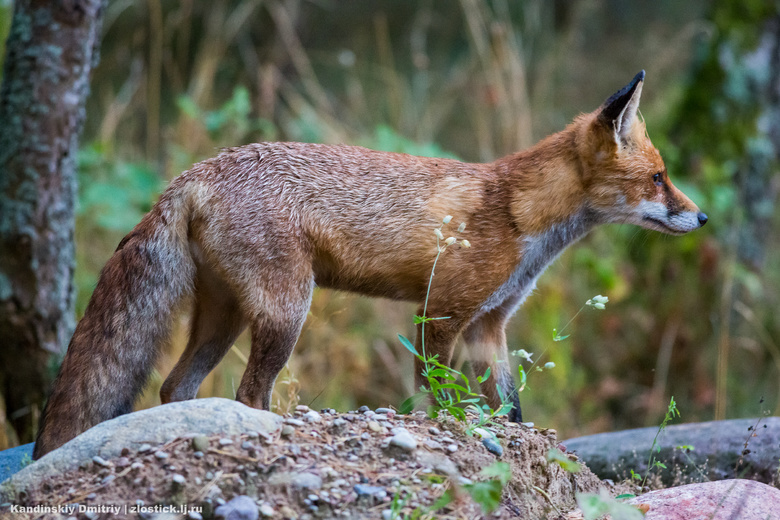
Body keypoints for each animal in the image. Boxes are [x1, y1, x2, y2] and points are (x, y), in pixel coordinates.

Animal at [33, 71, 708, 458]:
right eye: (660, 178)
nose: (701, 219)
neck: (519, 215)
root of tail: (195, 173)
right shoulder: (440, 314)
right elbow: (437, 396)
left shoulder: (491, 326)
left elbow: (513, 407)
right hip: (286, 312)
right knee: (248, 392)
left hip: (225, 318)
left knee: (177, 387)